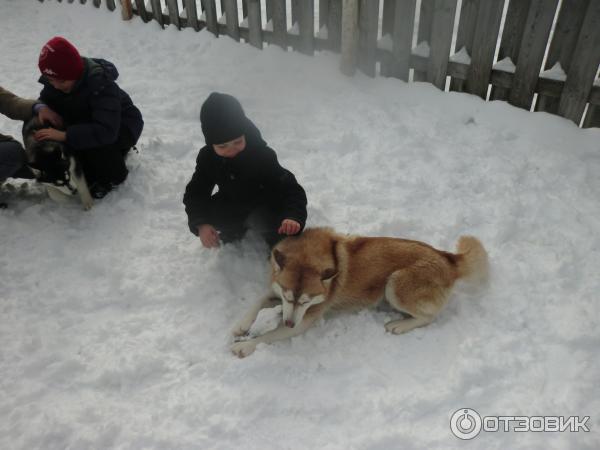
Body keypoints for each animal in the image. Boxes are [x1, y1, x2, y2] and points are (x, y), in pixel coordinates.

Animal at [230, 227, 488, 356]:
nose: (290, 323)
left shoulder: (306, 319)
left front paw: (246, 345)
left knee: (428, 317)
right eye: (287, 296)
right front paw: (241, 325)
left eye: (307, 301)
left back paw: (399, 325)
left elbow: (268, 335)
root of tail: (449, 259)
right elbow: (258, 301)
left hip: (395, 284)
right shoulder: (277, 291)